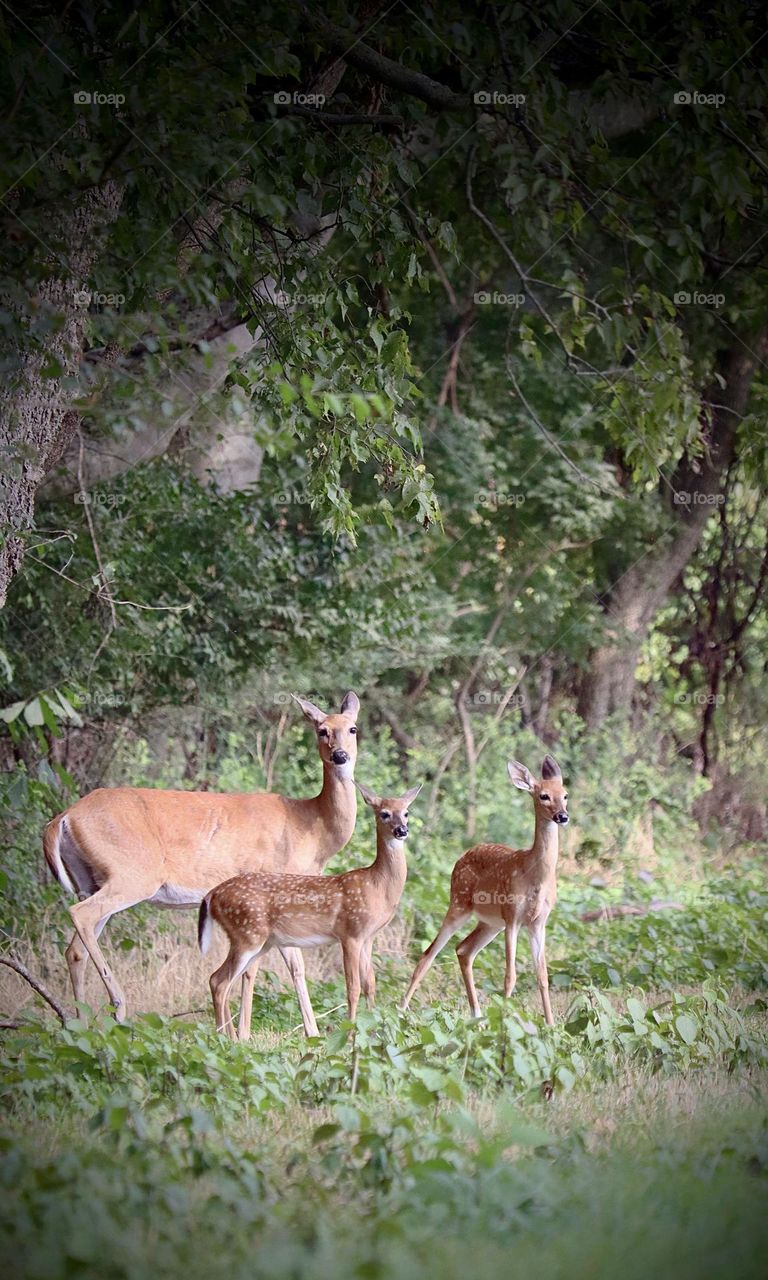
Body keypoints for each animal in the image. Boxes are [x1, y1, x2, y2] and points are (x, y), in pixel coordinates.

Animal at [43, 686, 360, 1034]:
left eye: (352, 728)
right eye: (322, 730)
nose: (340, 756)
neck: (311, 827)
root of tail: (62, 819)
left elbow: (271, 967)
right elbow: (281, 966)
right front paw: (288, 1034)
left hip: (91, 880)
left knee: (75, 949)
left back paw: (79, 1026)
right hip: (134, 874)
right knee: (81, 915)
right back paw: (119, 1008)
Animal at [198, 778, 422, 1039]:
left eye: (406, 812)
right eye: (384, 813)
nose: (402, 830)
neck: (377, 886)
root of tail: (212, 894)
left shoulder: (368, 937)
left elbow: (370, 984)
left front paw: (375, 1031)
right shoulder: (351, 933)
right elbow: (352, 987)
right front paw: (350, 1034)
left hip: (261, 941)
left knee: (223, 980)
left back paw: (232, 1038)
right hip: (247, 934)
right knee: (218, 981)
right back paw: (226, 1040)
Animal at [404, 752, 565, 1024]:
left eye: (565, 795)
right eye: (543, 796)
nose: (563, 816)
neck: (535, 876)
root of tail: (462, 857)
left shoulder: (538, 922)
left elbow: (542, 976)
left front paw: (551, 1025)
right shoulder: (512, 915)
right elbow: (510, 977)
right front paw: (503, 1021)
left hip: (490, 923)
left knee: (463, 950)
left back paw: (477, 1016)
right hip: (459, 904)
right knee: (429, 954)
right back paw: (400, 1010)